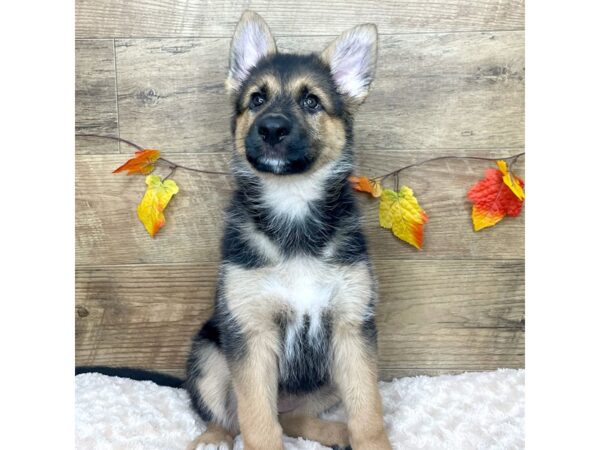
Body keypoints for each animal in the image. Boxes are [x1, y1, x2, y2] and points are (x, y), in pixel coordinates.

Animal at [188, 10, 394, 450]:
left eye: (311, 101)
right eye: (257, 99)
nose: (271, 129)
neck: (293, 205)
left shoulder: (353, 330)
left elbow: (368, 412)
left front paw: (367, 439)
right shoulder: (250, 333)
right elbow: (257, 421)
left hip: (329, 377)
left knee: (293, 417)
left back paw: (334, 431)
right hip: (208, 354)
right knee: (228, 419)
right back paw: (212, 439)